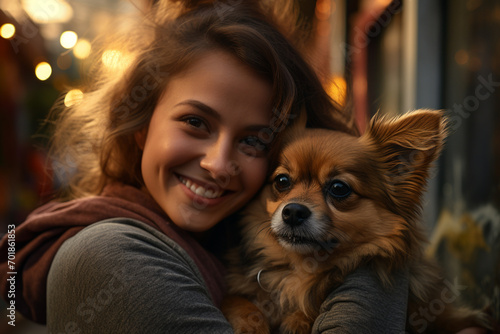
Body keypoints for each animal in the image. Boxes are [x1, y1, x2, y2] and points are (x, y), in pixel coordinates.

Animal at [222, 110, 492, 334]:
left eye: (339, 188)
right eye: (282, 181)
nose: (293, 211)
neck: (300, 268)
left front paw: (299, 319)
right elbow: (236, 299)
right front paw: (250, 321)